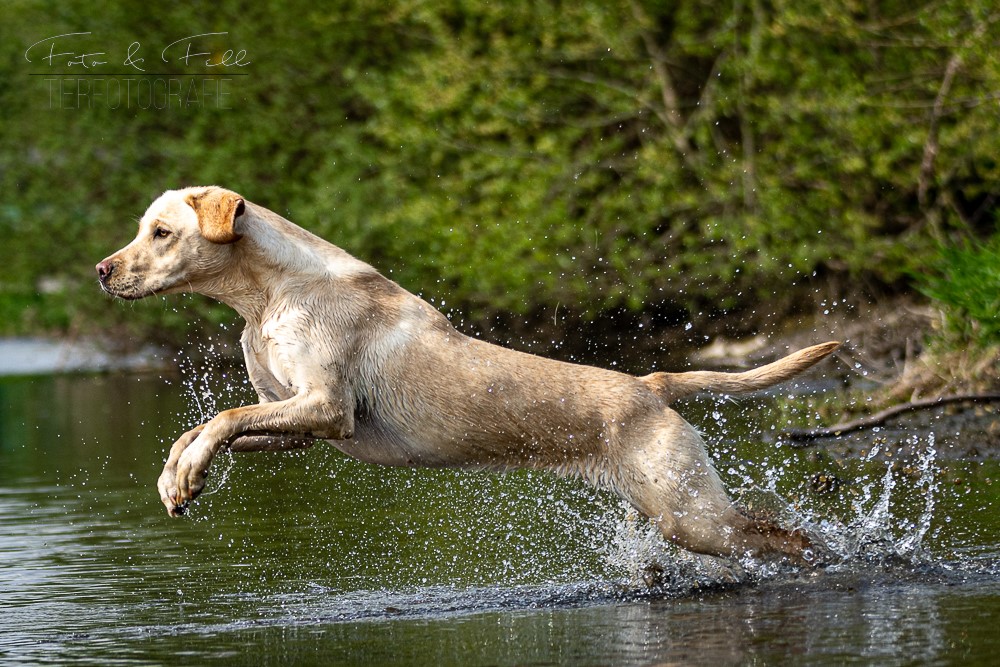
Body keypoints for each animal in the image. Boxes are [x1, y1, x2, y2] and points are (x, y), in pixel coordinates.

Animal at [99, 187, 836, 564]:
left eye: (161, 232)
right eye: (142, 228)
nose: (102, 270)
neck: (267, 293)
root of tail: (649, 385)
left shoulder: (327, 406)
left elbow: (221, 418)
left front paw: (186, 474)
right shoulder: (297, 425)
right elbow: (205, 427)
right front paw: (176, 477)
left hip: (692, 515)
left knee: (786, 535)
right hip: (671, 511)